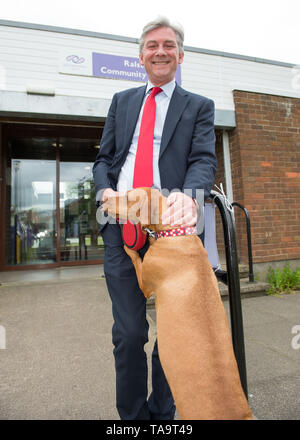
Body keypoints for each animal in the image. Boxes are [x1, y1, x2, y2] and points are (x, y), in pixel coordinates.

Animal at [101, 186, 253, 420]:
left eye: (128, 198)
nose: (102, 200)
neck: (174, 233)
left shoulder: (145, 282)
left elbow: (135, 257)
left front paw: (131, 249)